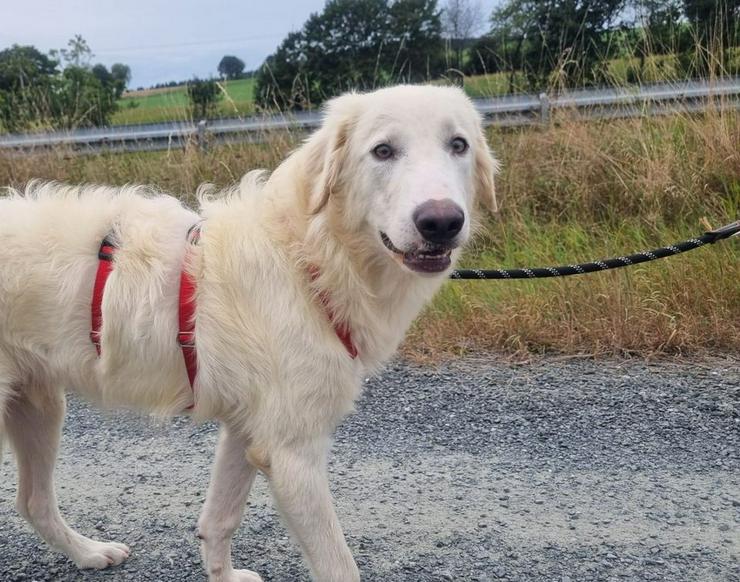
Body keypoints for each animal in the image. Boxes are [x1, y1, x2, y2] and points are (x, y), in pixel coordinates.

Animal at [1, 84, 498, 580]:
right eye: (383, 150)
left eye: (458, 144)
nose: (441, 222)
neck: (307, 257)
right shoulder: (293, 455)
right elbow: (339, 565)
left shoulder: (246, 432)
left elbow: (219, 520)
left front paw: (224, 576)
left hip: (39, 407)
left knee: (33, 502)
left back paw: (88, 552)